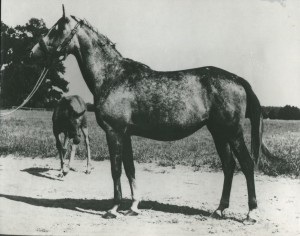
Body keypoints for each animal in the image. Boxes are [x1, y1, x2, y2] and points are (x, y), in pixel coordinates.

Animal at [31, 6, 276, 221]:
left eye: (56, 29)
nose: (34, 51)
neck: (113, 75)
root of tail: (238, 79)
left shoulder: (114, 132)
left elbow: (116, 169)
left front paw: (113, 209)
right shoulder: (125, 134)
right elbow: (130, 168)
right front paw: (133, 207)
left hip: (232, 133)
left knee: (246, 164)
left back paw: (251, 213)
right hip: (219, 133)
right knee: (229, 166)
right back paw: (219, 210)